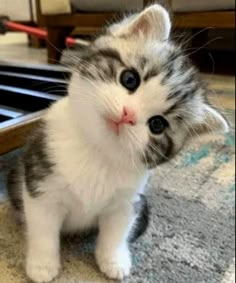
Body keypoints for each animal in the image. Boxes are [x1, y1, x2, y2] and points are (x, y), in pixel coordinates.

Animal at [7, 4, 229, 283]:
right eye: (129, 79)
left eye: (158, 125)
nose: (127, 115)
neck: (98, 152)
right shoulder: (40, 180)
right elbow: (42, 228)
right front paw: (42, 264)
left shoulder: (127, 200)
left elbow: (116, 232)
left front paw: (113, 260)